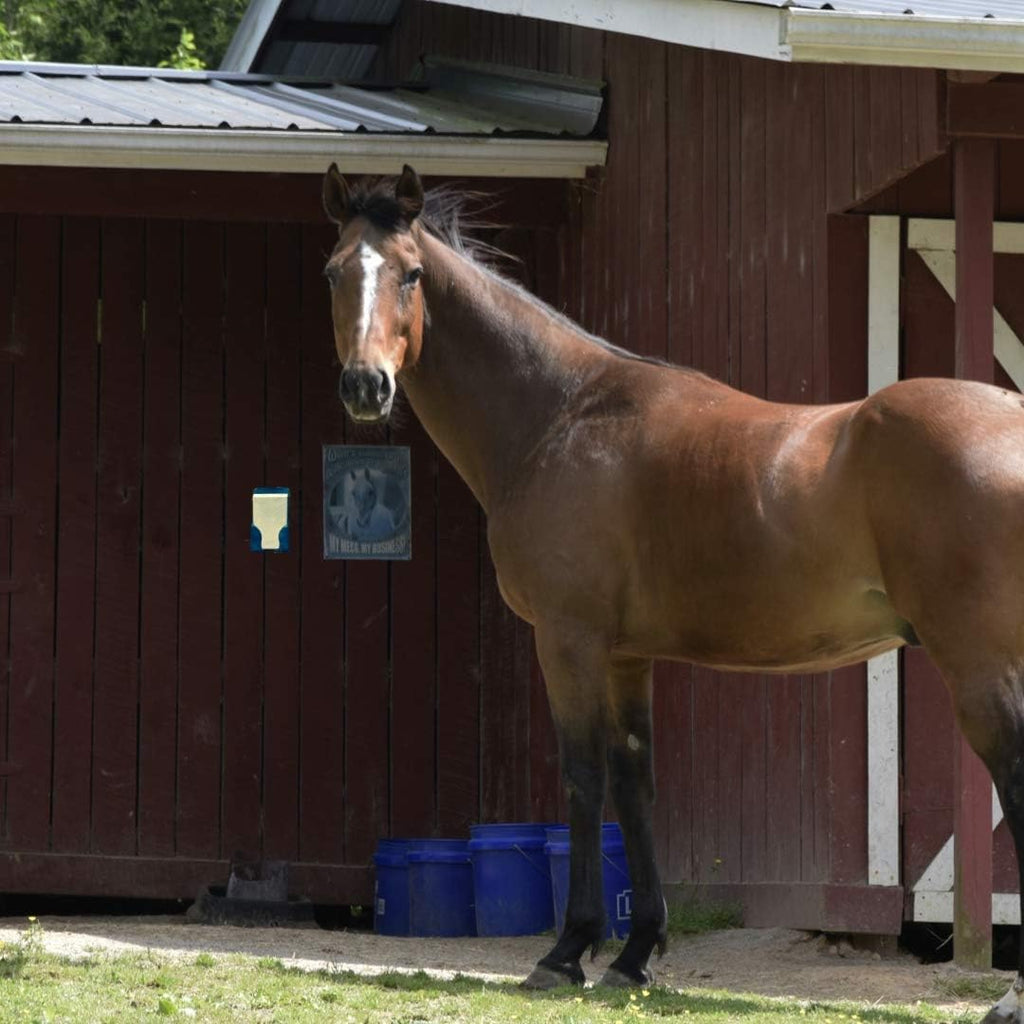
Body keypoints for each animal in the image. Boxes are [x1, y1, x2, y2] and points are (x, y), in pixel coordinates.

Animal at [322, 163, 1024, 1022]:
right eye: (334, 272)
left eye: (412, 275)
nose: (366, 387)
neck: (561, 413)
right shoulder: (627, 657)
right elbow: (635, 783)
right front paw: (634, 955)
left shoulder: (569, 640)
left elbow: (584, 778)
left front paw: (566, 952)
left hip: (978, 666)